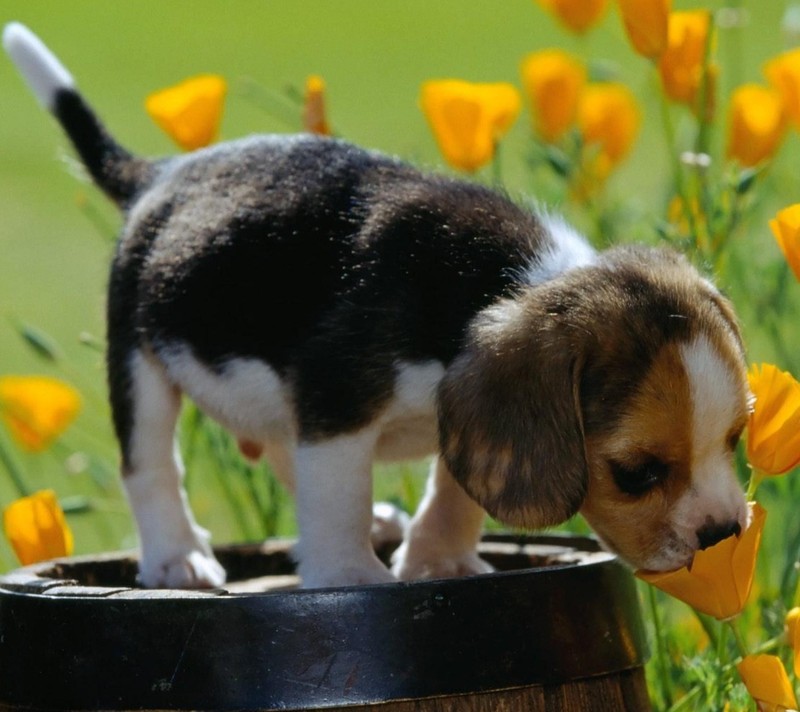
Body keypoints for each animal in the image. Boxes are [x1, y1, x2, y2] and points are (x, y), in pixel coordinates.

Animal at [3, 22, 752, 588]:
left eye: (736, 438)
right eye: (636, 474)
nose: (723, 535)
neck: (506, 282)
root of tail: (160, 176)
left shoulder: (457, 416)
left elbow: (454, 488)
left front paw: (439, 558)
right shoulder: (338, 403)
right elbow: (337, 495)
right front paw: (349, 577)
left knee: (283, 451)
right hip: (139, 359)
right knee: (151, 464)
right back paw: (177, 558)